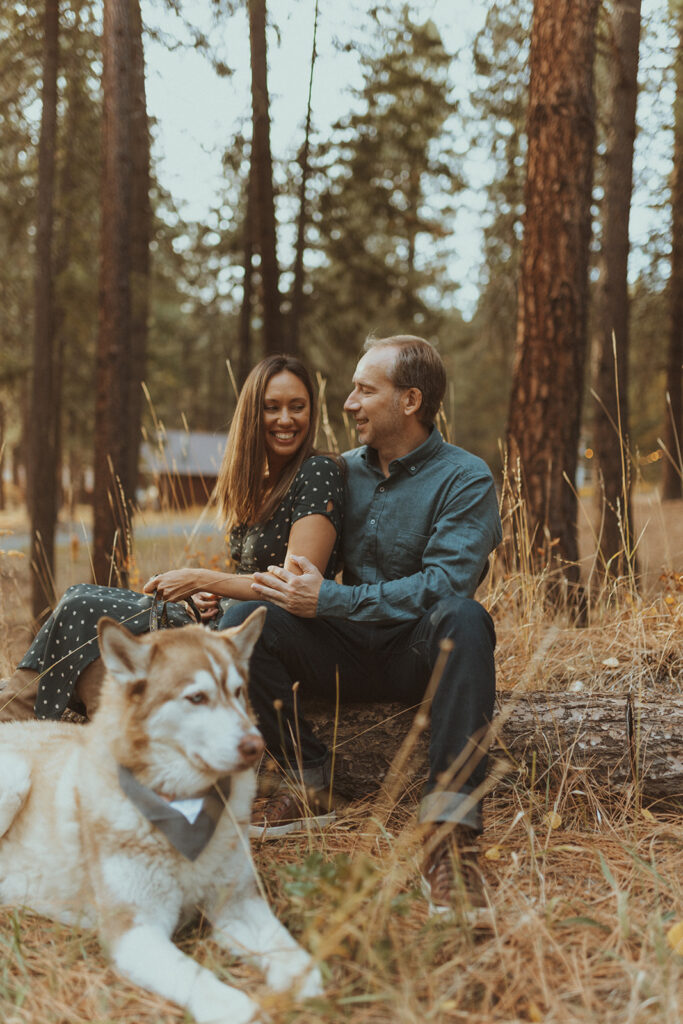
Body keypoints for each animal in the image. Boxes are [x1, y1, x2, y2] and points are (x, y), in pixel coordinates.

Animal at [0, 606, 323, 1024]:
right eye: (197, 697)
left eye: (238, 692)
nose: (257, 745)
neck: (182, 808)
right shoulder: (135, 930)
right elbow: (198, 979)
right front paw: (242, 1007)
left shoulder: (236, 903)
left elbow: (287, 949)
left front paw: (307, 982)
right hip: (15, 774)